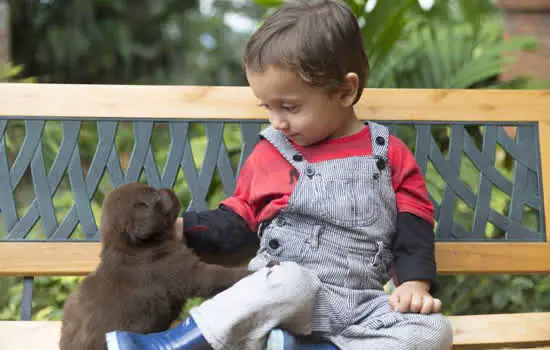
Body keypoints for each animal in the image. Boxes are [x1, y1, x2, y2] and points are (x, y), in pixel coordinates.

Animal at [60, 183, 250, 350]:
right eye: (155, 196)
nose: (169, 189)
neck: (134, 247)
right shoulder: (187, 271)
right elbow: (219, 274)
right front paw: (249, 270)